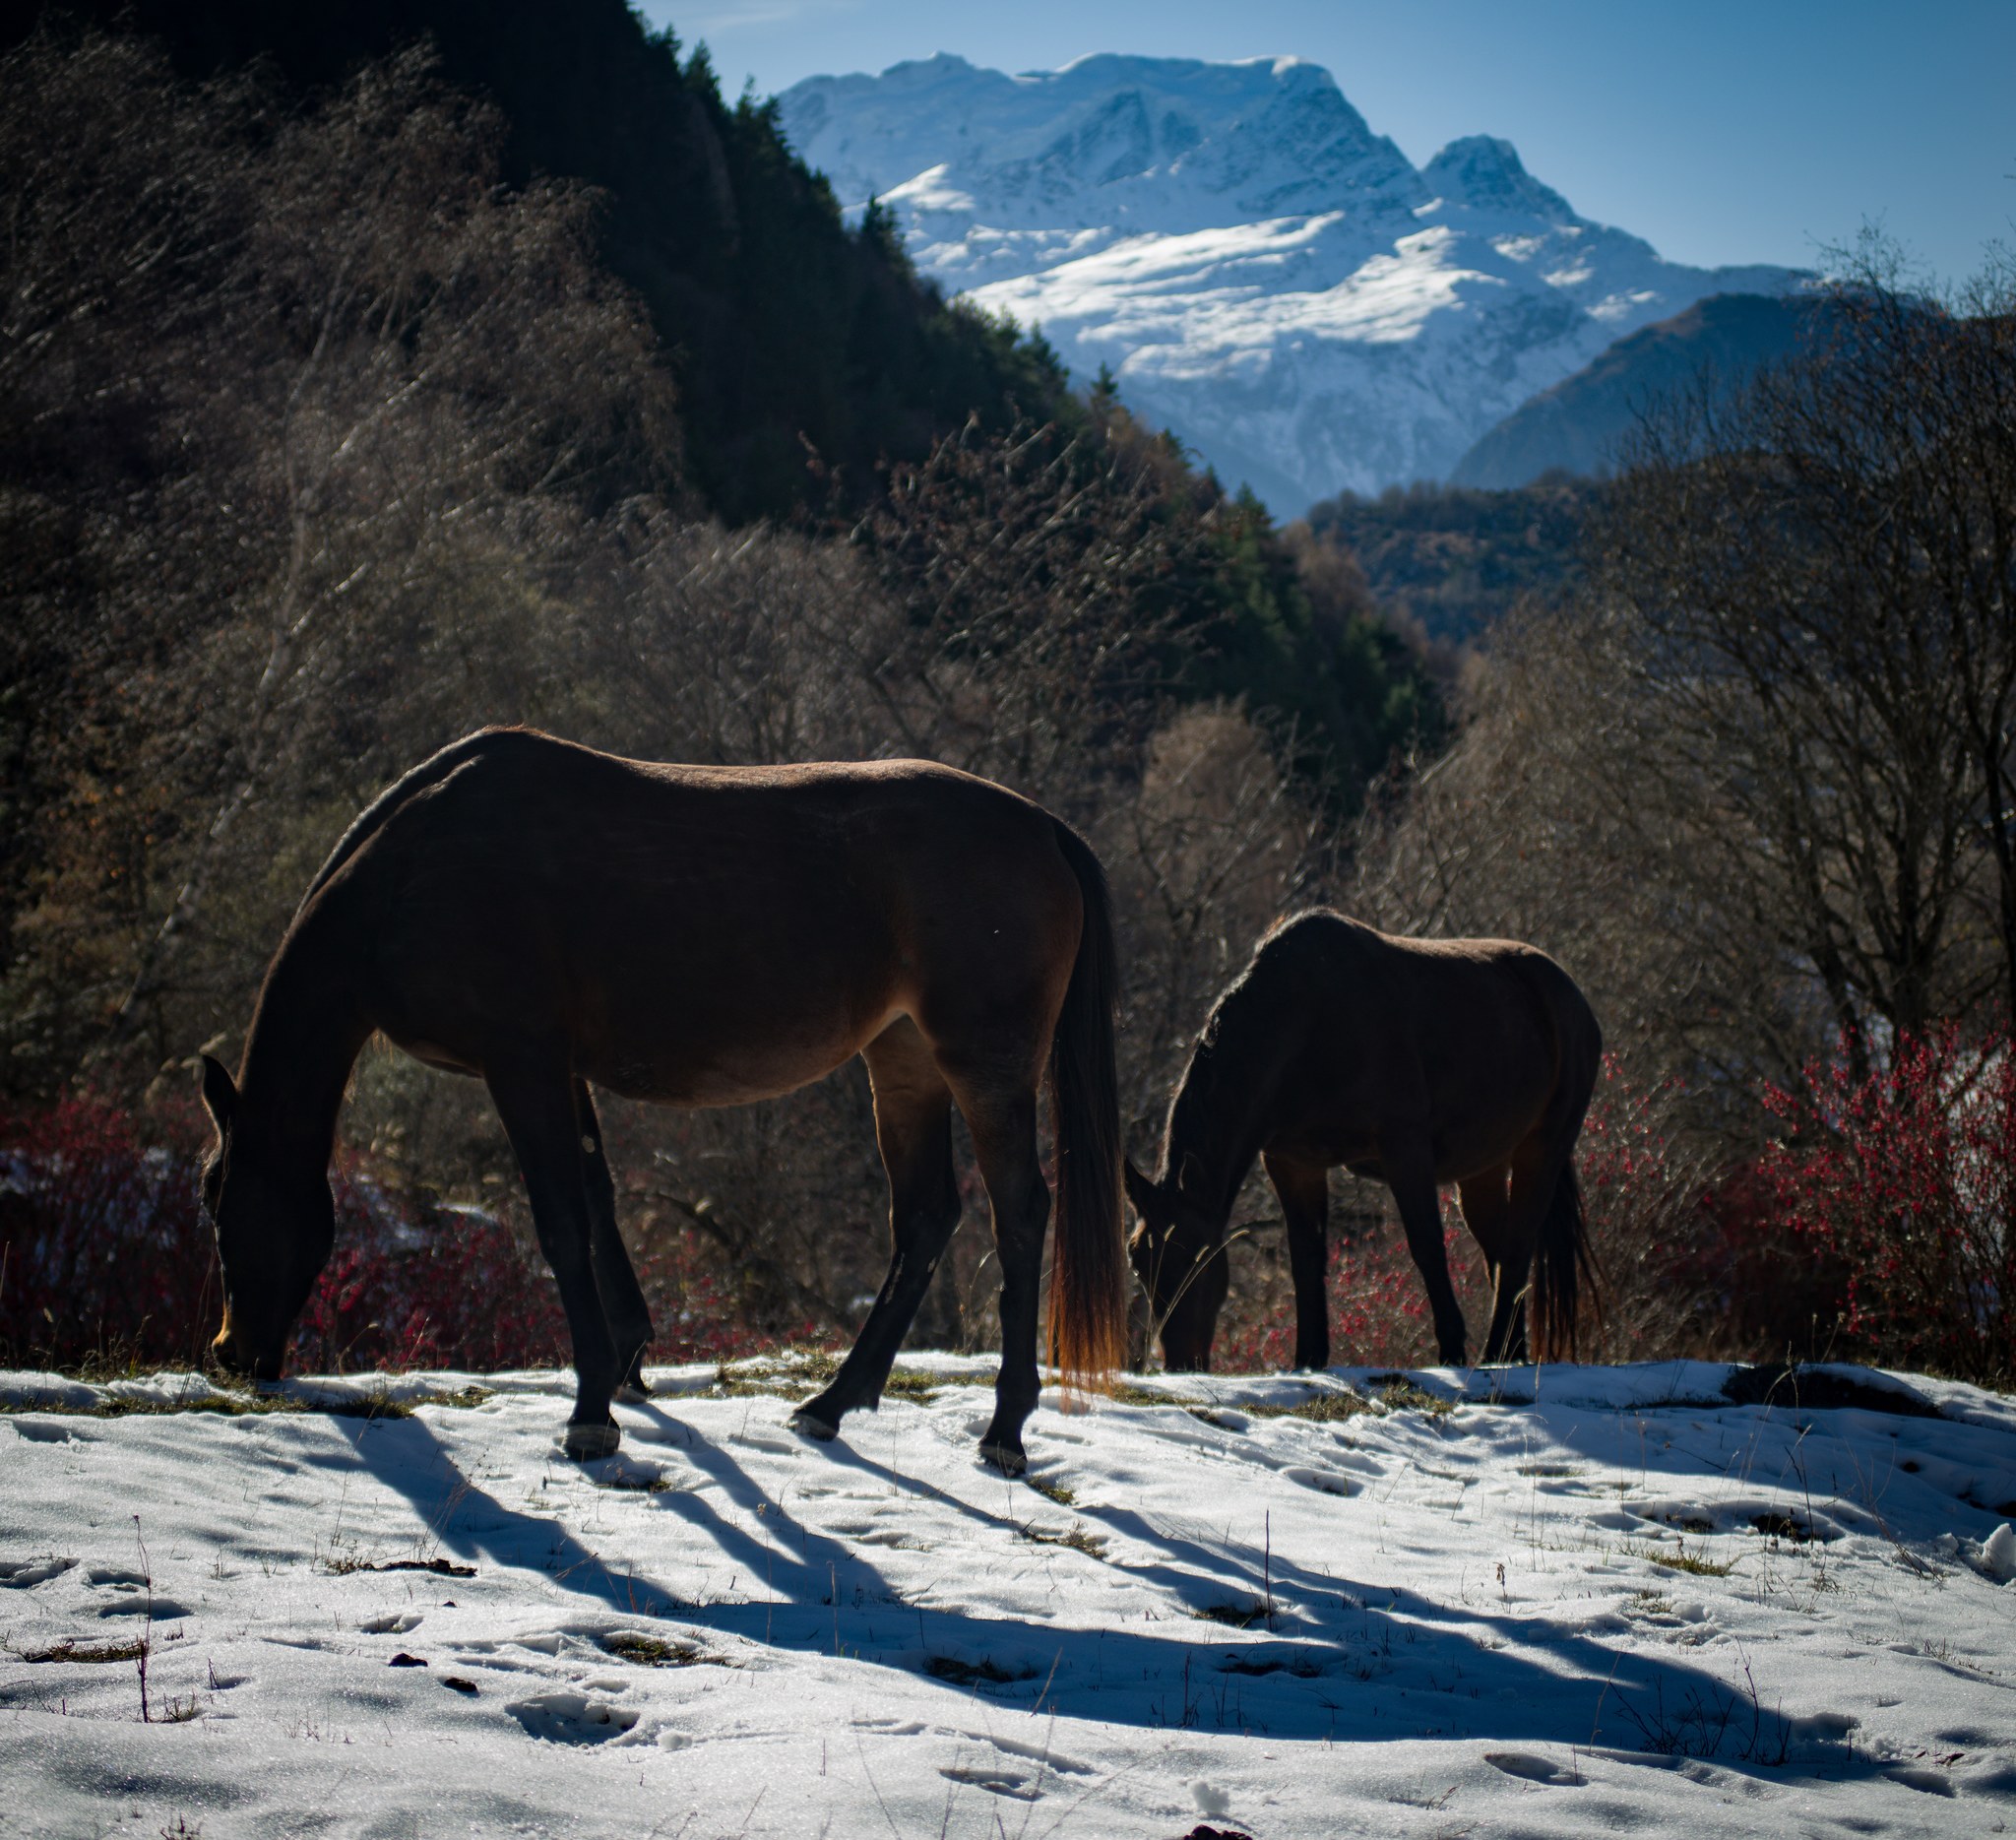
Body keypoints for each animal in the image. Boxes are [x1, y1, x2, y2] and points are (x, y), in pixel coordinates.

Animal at [196, 730, 1128, 1467]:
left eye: (217, 1204)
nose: (232, 1354)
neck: (414, 871)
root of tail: (1042, 826)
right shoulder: (562, 1071)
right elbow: (598, 1201)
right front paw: (625, 1359)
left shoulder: (522, 1064)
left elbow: (560, 1223)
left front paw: (590, 1411)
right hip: (903, 1063)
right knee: (927, 1219)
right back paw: (833, 1402)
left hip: (985, 1068)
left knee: (1020, 1214)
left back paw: (1004, 1428)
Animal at [1128, 911, 1597, 1370]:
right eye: (1138, 1264)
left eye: (1199, 1257)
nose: (1179, 1363)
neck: (1305, 1022)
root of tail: (1570, 994)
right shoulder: (1293, 1163)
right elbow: (1306, 1259)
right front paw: (1309, 1359)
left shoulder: (1404, 1148)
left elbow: (1427, 1245)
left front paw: (1451, 1350)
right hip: (1484, 1166)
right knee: (1499, 1253)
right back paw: (1508, 1353)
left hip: (1543, 1148)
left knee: (1518, 1244)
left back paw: (1492, 1352)